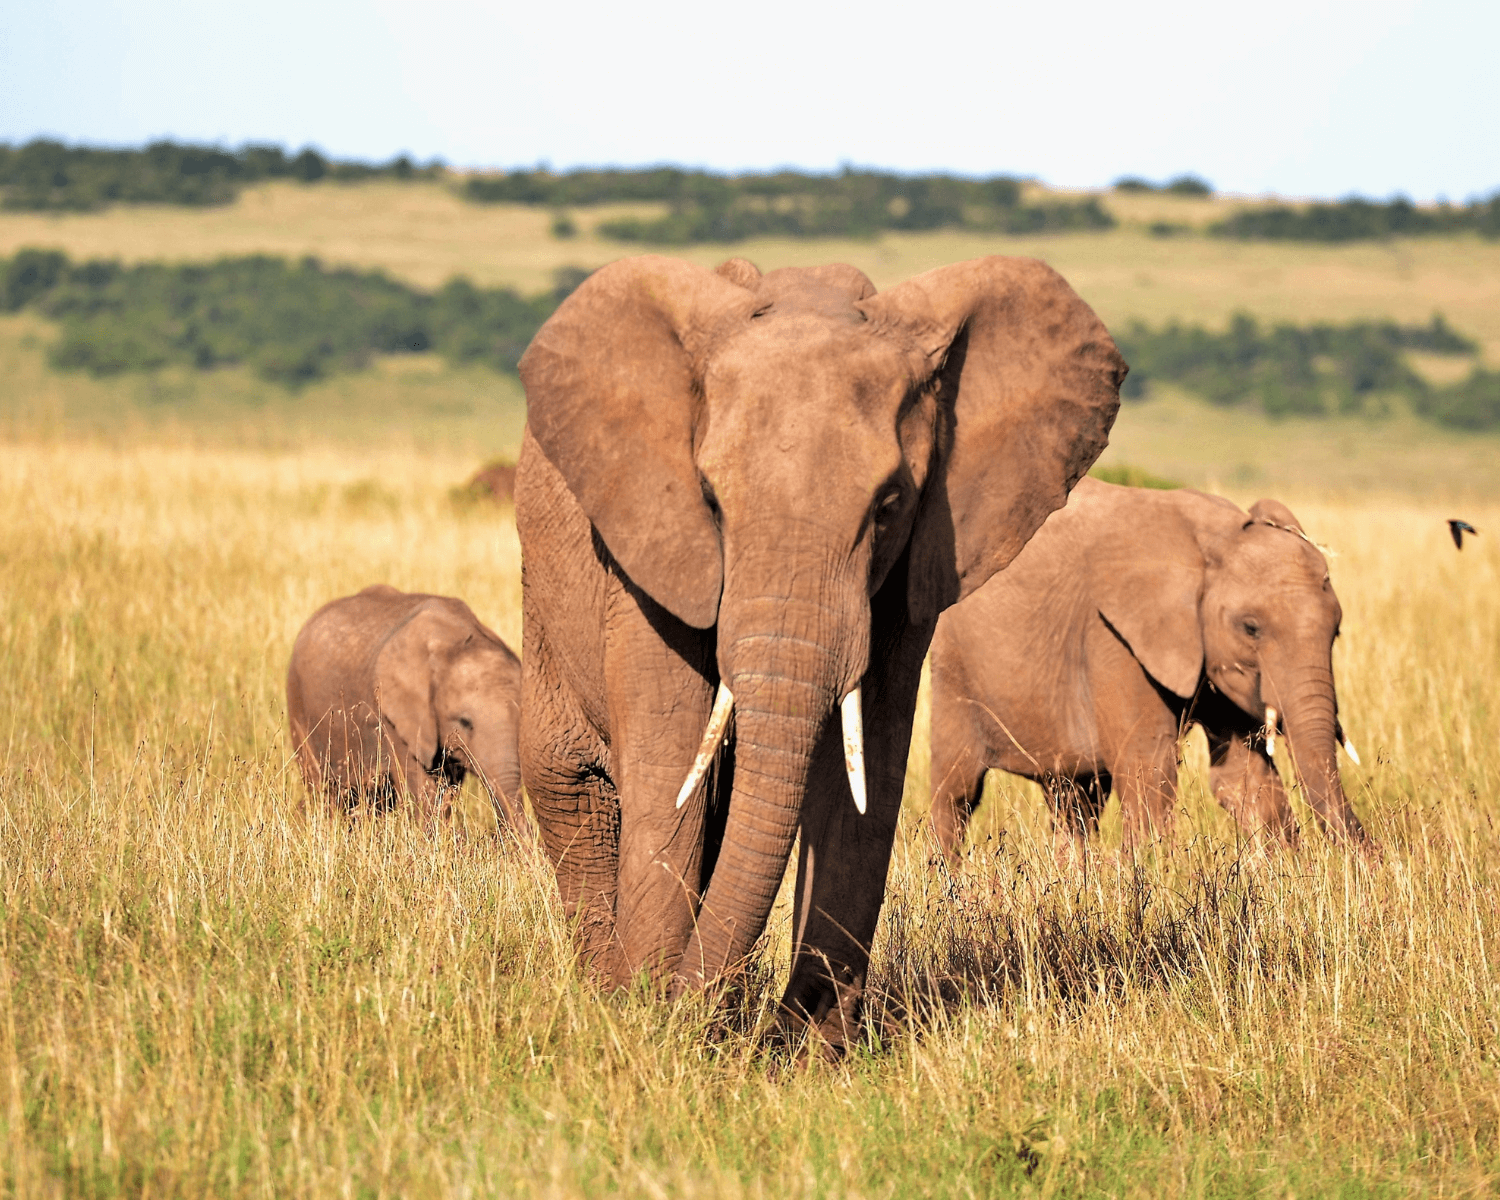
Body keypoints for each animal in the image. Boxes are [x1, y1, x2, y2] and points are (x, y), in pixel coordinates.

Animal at [516, 250, 1128, 1050]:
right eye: (710, 500)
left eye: (889, 504)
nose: (687, 1007)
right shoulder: (649, 547)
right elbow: (669, 756)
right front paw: (646, 1020)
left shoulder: (912, 569)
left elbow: (867, 771)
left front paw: (807, 1051)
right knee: (574, 787)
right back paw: (603, 993)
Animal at [930, 477, 1374, 864]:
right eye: (1251, 628)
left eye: (1336, 631)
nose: (1374, 858)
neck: (1214, 539)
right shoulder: (1113, 635)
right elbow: (1150, 769)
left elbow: (1242, 777)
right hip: (953, 664)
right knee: (957, 791)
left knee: (1076, 798)